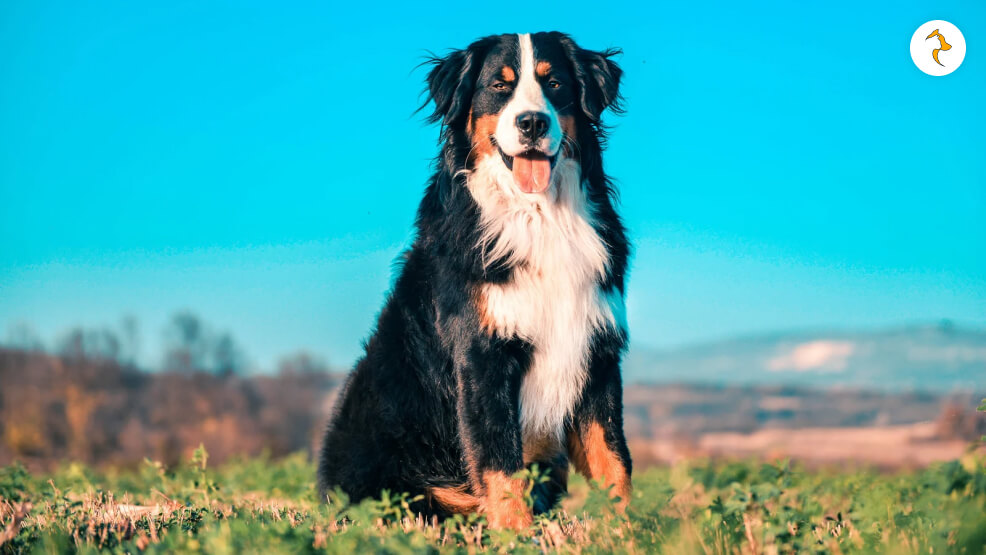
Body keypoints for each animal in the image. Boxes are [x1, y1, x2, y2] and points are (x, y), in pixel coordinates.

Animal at [320, 30, 636, 528]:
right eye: (499, 86)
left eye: (555, 83)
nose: (532, 123)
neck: (539, 217)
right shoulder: (482, 356)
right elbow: (500, 463)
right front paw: (516, 535)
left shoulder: (597, 353)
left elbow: (613, 460)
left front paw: (627, 532)